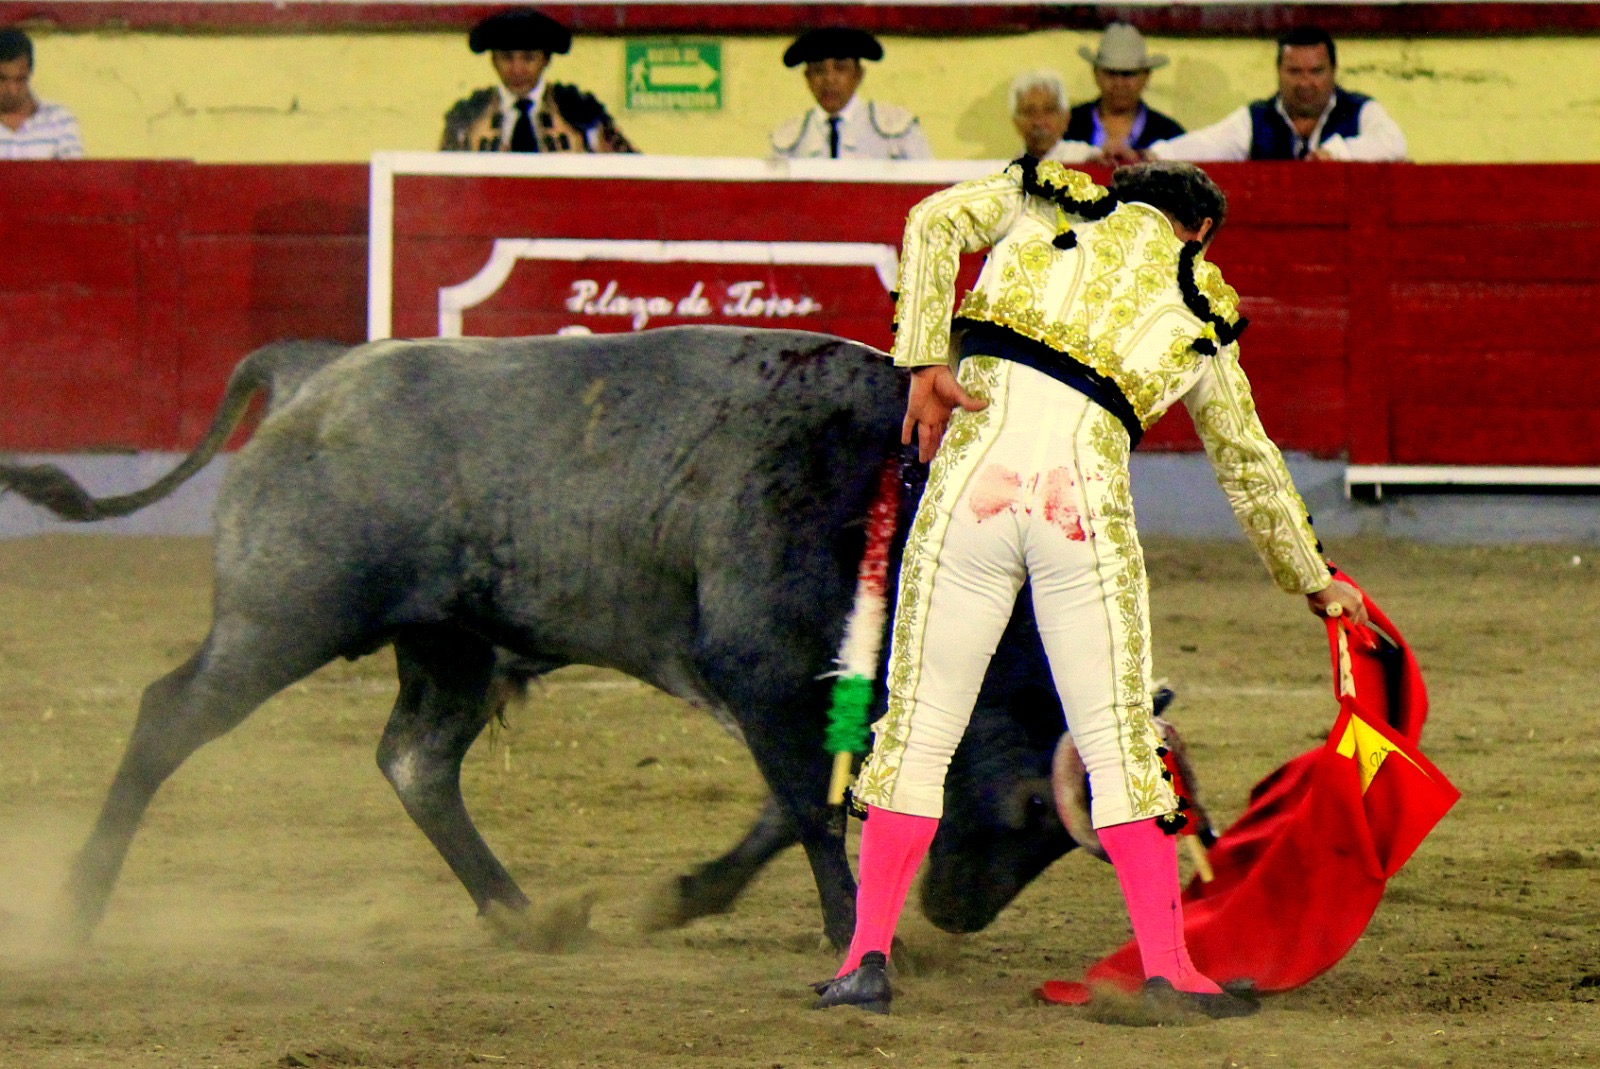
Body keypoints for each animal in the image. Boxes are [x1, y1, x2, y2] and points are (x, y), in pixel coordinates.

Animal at [0, 328, 1209, 949]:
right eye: (1033, 809)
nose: (954, 915)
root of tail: (316, 371)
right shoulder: (762, 673)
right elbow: (811, 815)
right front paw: (851, 933)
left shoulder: (806, 696)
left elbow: (782, 810)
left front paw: (686, 898)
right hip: (282, 615)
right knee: (169, 718)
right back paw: (74, 907)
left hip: (449, 641)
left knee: (416, 762)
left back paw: (525, 915)